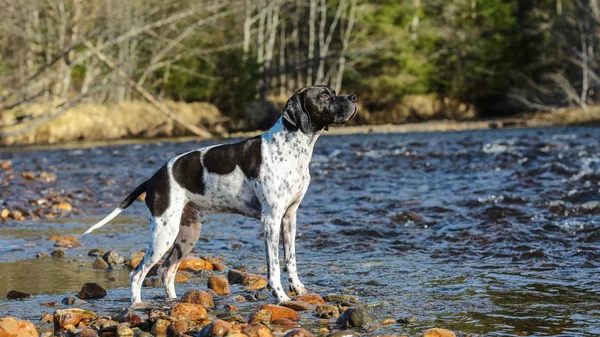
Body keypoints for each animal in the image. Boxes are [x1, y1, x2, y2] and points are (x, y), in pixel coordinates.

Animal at [82, 85, 358, 304]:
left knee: (166, 271)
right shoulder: (271, 220)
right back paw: (138, 306)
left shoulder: (289, 218)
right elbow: (274, 267)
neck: (291, 147)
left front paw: (298, 289)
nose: (354, 97)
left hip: (187, 235)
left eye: (333, 91)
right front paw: (281, 296)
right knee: (137, 274)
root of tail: (152, 179)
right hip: (164, 234)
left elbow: (290, 259)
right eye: (324, 95)